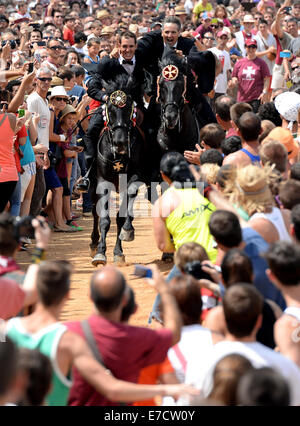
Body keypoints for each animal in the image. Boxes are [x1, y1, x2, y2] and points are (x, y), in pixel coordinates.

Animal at [89, 75, 146, 264]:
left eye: (129, 108)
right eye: (110, 109)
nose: (120, 143)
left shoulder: (133, 179)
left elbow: (121, 218)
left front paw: (120, 248)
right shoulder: (102, 183)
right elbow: (104, 218)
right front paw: (100, 253)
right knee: (94, 211)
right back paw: (93, 243)